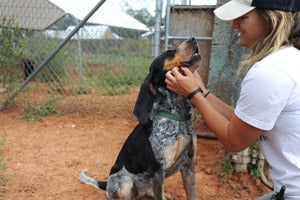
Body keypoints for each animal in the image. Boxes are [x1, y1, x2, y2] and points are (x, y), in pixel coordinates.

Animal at [79, 38, 202, 200]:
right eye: (169, 52)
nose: (193, 38)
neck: (177, 115)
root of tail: (107, 184)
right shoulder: (158, 171)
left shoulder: (189, 164)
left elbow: (192, 194)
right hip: (124, 182)